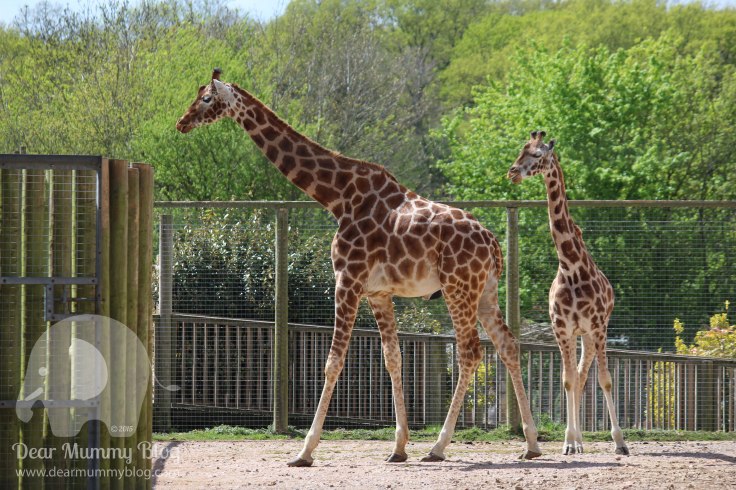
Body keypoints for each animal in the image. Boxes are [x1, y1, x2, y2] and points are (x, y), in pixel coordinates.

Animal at [176, 69, 542, 466]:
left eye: (207, 99)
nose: (182, 122)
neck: (338, 197)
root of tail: (494, 246)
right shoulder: (378, 292)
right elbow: (392, 359)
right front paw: (398, 447)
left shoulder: (347, 280)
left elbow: (333, 361)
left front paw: (305, 450)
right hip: (485, 291)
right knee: (507, 344)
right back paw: (531, 444)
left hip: (457, 288)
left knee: (470, 352)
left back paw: (439, 446)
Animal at [507, 131, 629, 456]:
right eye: (521, 149)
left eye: (537, 154)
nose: (512, 172)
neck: (571, 267)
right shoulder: (561, 328)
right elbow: (567, 381)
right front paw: (569, 442)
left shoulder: (597, 327)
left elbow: (605, 380)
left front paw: (620, 442)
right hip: (578, 335)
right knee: (577, 375)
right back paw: (578, 440)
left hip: (593, 333)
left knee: (587, 374)